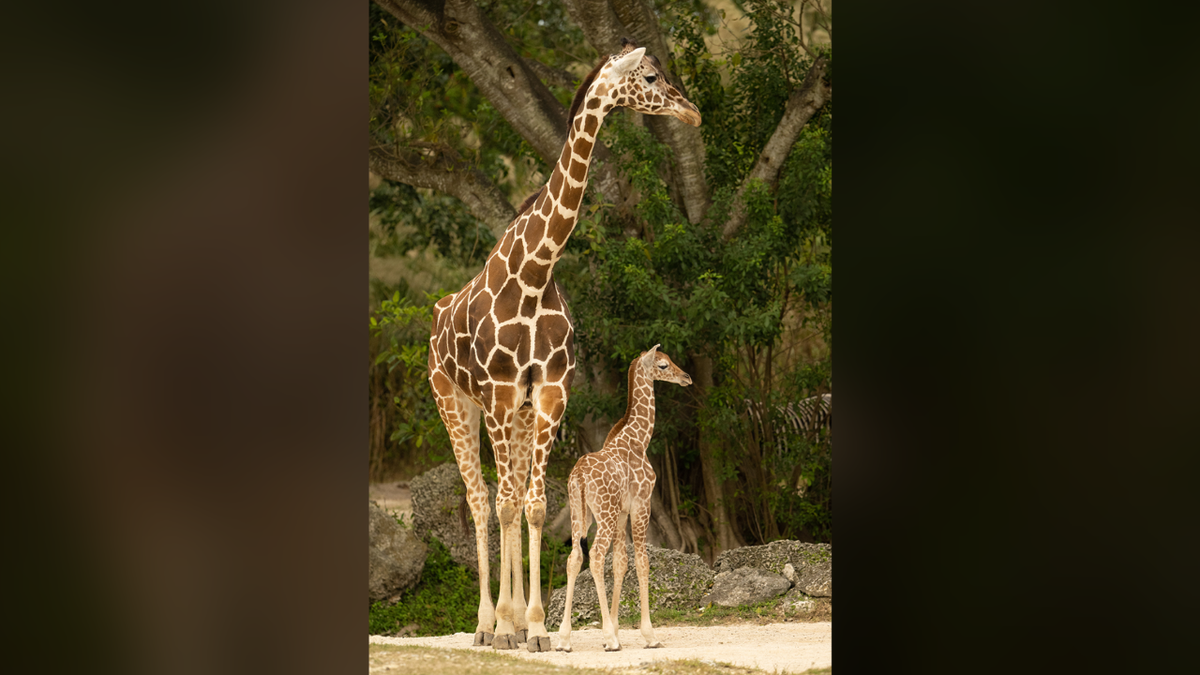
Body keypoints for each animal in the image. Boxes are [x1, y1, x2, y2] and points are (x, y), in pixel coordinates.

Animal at [554, 343, 691, 648]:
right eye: (663, 364)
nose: (686, 377)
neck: (640, 440)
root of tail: (578, 477)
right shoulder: (641, 504)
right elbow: (642, 562)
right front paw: (647, 635)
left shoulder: (622, 511)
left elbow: (620, 563)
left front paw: (617, 628)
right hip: (603, 515)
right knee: (594, 555)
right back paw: (606, 638)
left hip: (582, 514)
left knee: (573, 558)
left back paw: (564, 639)